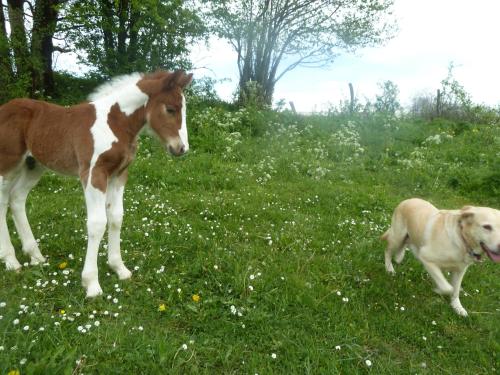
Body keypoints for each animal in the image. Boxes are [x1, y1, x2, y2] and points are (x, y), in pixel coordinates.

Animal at [0, 69, 192, 298]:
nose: (181, 148)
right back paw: (11, 260)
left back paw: (35, 256)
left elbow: (116, 217)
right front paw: (91, 283)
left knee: (17, 199)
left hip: (34, 165)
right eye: (170, 109)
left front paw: (119, 268)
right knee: (3, 200)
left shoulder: (119, 174)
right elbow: (97, 223)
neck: (115, 123)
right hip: (8, 164)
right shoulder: (94, 173)